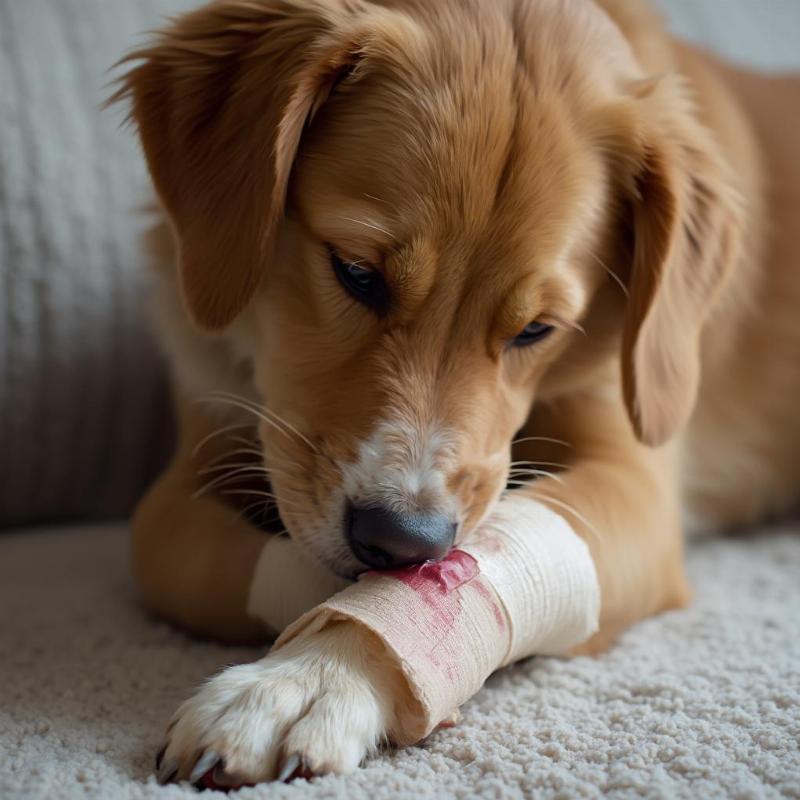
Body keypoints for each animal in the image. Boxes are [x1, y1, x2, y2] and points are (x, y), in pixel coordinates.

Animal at [112, 0, 800, 788]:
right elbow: (174, 558)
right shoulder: (193, 461)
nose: (401, 542)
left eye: (538, 329)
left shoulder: (637, 486)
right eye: (355, 272)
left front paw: (313, 674)